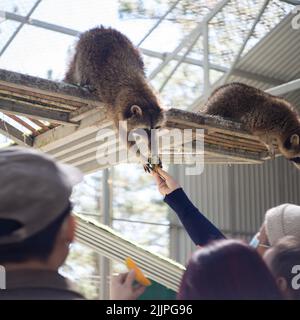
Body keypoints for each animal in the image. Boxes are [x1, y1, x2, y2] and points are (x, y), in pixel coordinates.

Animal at [64, 26, 165, 171]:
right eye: (144, 129)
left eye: (156, 128)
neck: (143, 98)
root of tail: (100, 28)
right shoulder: (118, 111)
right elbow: (125, 137)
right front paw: (140, 156)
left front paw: (154, 152)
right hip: (85, 51)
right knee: (83, 68)